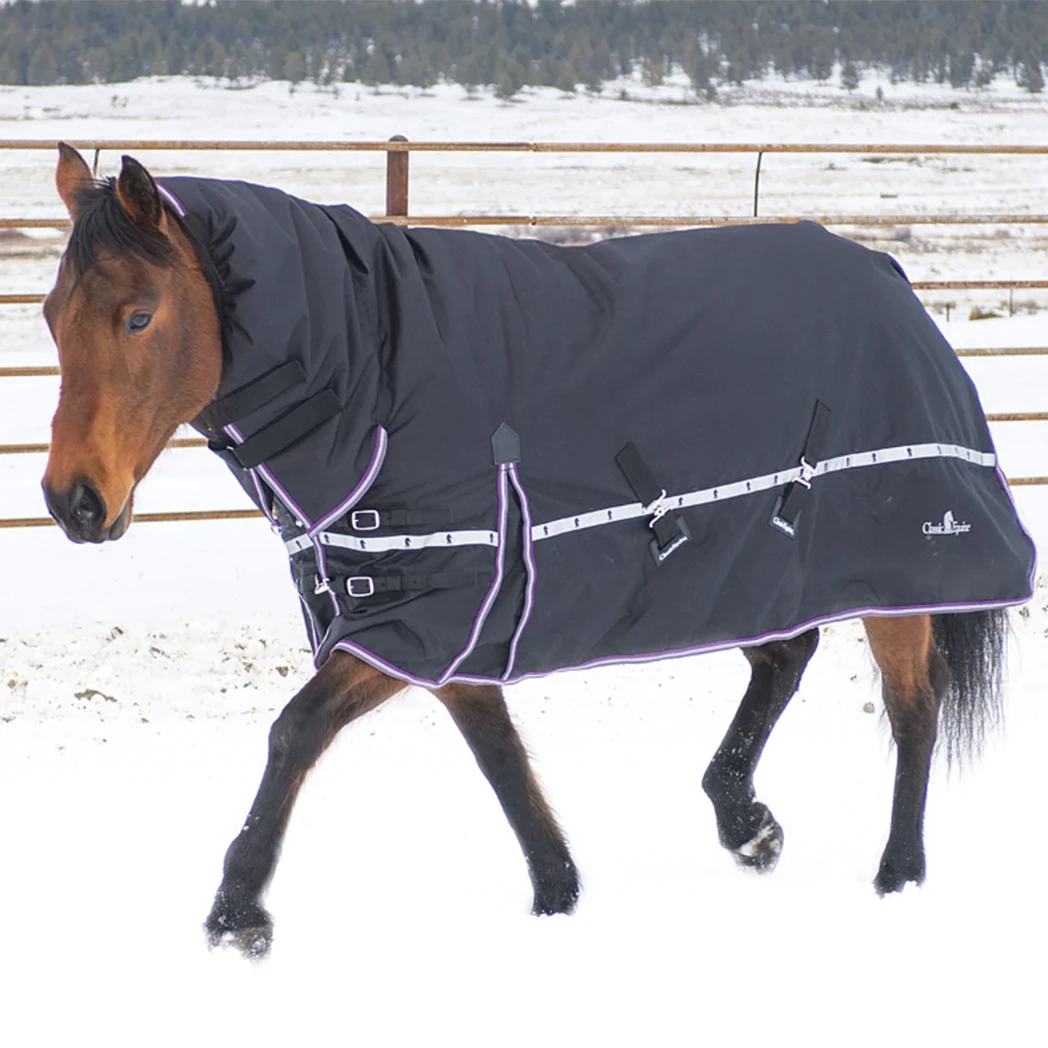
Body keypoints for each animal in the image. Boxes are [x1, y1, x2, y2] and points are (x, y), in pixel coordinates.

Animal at [40, 143, 1028, 959]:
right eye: (50, 316)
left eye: (138, 317)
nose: (72, 501)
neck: (371, 374)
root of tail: (892, 280)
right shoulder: (445, 619)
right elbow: (500, 757)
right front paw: (558, 892)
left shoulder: (419, 616)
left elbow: (296, 732)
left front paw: (236, 914)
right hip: (760, 564)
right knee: (786, 659)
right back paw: (745, 820)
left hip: (899, 567)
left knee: (913, 707)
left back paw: (897, 874)